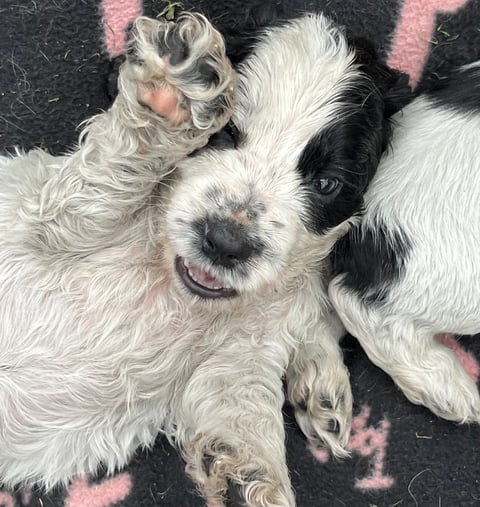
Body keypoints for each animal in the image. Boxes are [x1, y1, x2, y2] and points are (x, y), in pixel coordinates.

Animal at [0, 11, 406, 507]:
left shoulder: (247, 352)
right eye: (226, 133)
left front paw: (252, 479)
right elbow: (105, 181)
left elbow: (239, 408)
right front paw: (175, 92)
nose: (226, 242)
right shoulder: (51, 224)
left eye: (326, 183)